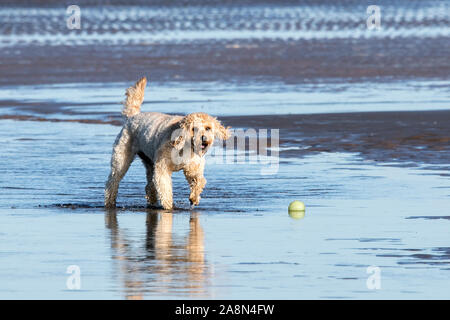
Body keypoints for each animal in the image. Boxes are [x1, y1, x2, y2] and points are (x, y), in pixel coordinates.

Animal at [105, 76, 230, 209]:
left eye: (208, 128)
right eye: (193, 129)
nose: (204, 139)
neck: (184, 146)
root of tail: (133, 116)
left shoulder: (192, 168)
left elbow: (199, 181)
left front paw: (194, 198)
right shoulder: (162, 168)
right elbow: (164, 187)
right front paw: (168, 207)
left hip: (150, 162)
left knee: (149, 185)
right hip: (121, 158)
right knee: (113, 181)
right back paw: (110, 202)